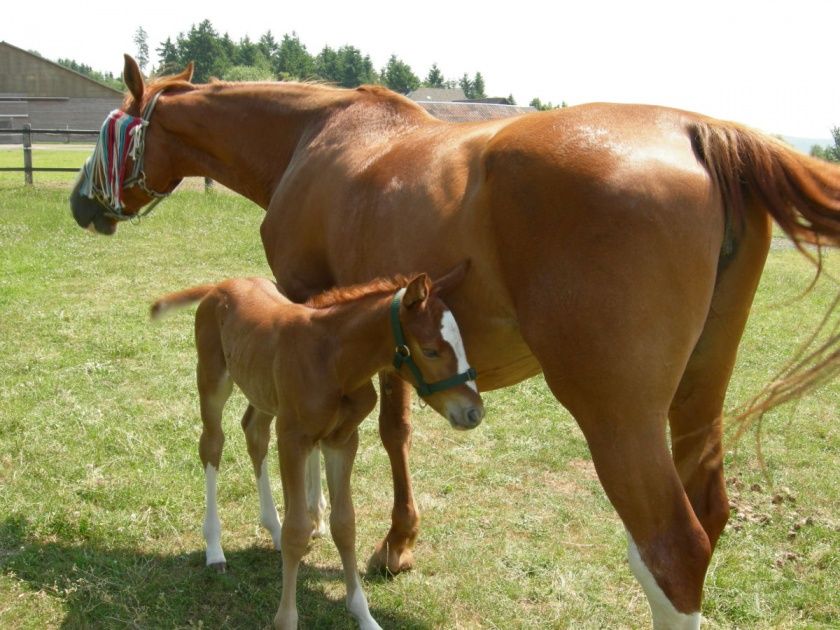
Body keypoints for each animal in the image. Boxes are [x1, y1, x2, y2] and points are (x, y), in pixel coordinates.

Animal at [149, 270, 480, 628]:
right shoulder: (292, 438)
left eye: (462, 344)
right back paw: (214, 548)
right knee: (212, 444)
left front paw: (364, 616)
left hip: (263, 392)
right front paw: (286, 620)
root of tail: (220, 285)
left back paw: (272, 529)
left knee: (254, 432)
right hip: (212, 380)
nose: (474, 412)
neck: (333, 361)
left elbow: (345, 524)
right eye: (431, 351)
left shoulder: (342, 440)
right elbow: (297, 531)